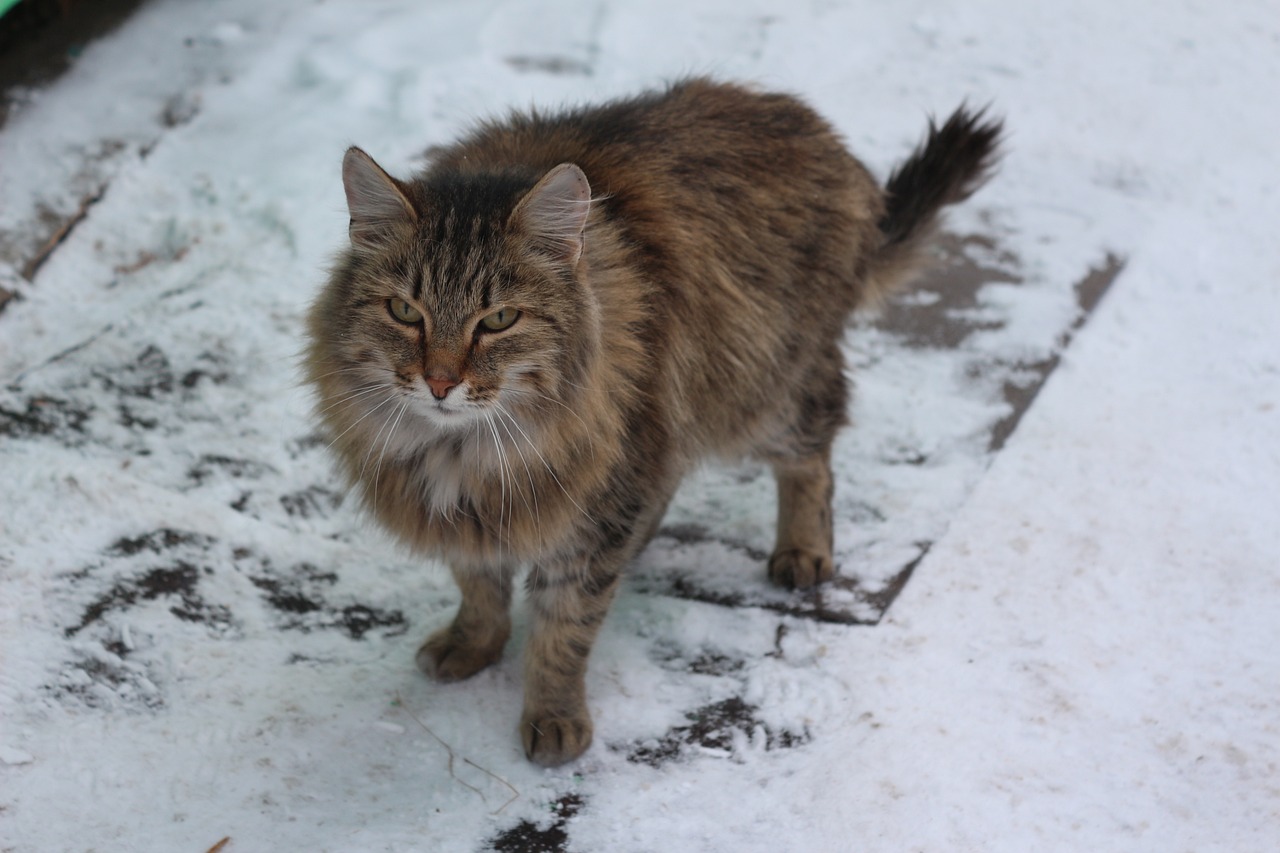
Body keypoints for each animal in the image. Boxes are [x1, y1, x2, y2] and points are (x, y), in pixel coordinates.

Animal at [307, 76, 998, 758]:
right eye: (405, 311)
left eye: (499, 320)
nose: (441, 383)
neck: (462, 452)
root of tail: (813, 125)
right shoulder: (478, 516)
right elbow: (478, 585)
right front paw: (473, 644)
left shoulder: (593, 512)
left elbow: (563, 629)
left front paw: (554, 718)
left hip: (764, 393)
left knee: (813, 459)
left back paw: (802, 550)